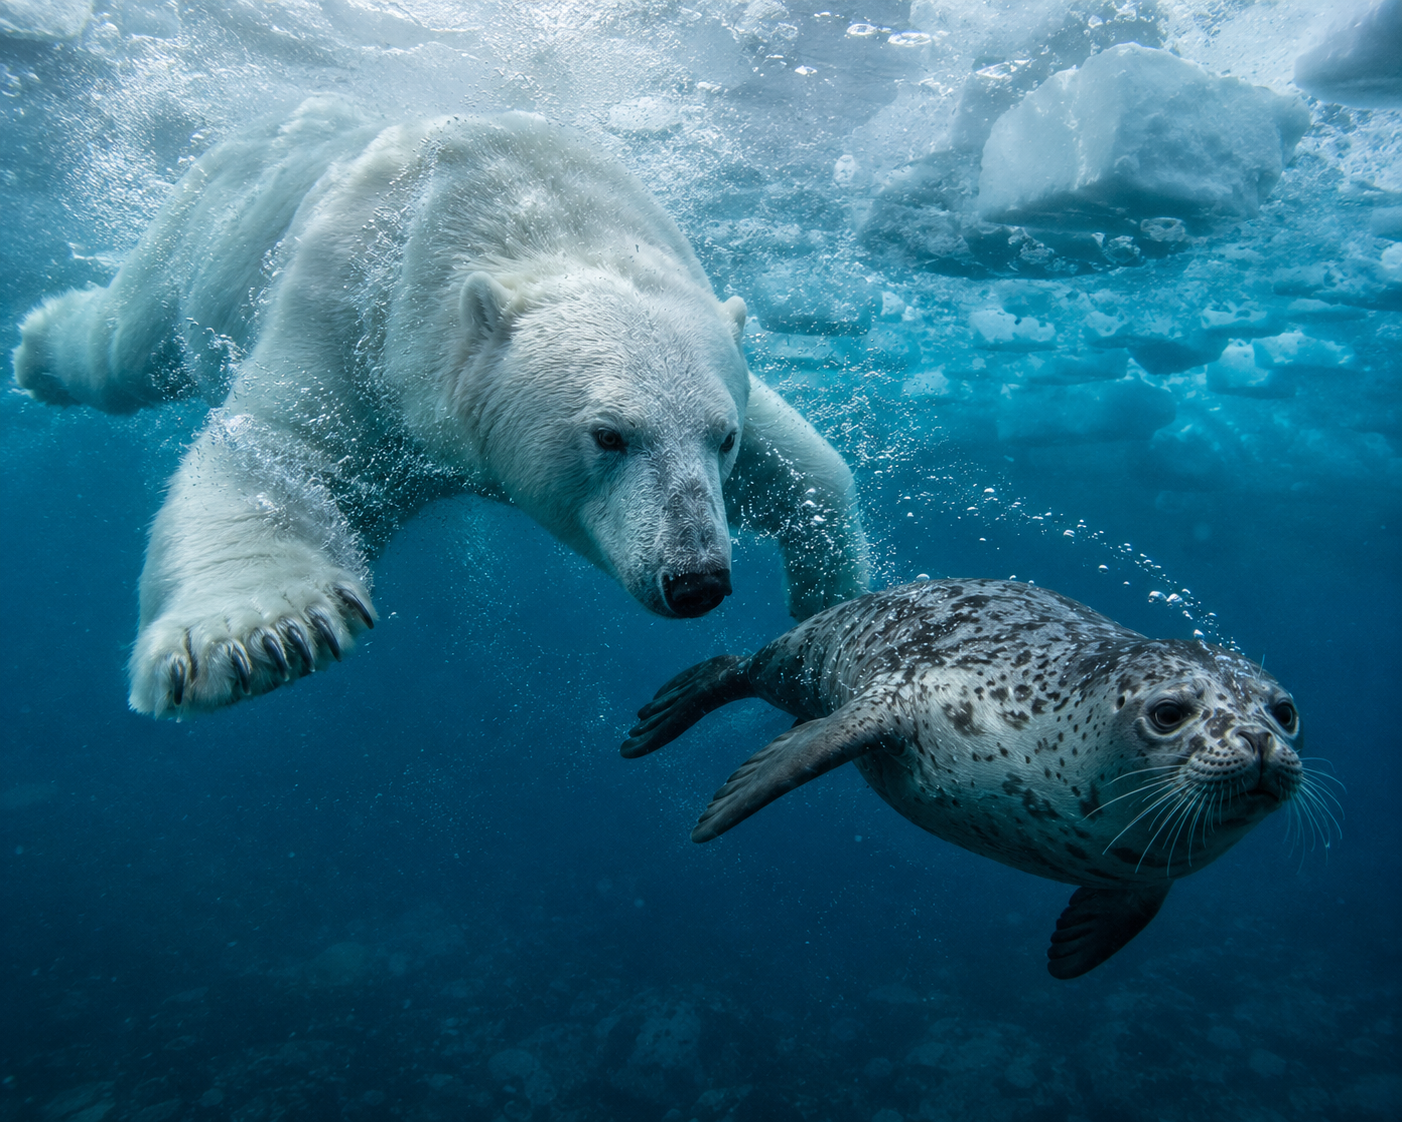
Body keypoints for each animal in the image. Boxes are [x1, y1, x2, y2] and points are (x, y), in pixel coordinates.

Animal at [13, 97, 870, 717]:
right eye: (607, 435)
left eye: (721, 439)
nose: (697, 578)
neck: (525, 208)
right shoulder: (355, 324)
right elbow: (274, 449)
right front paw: (261, 636)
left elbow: (805, 462)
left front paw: (830, 595)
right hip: (212, 225)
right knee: (123, 347)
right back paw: (37, 347)